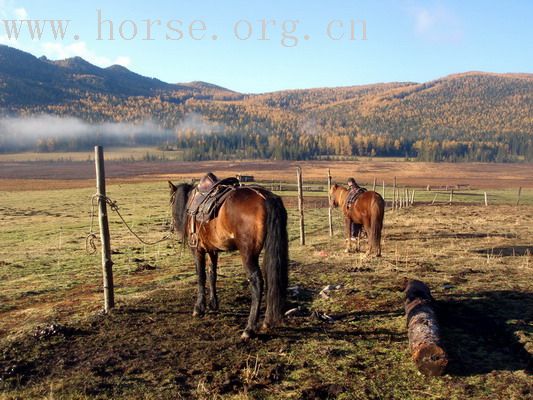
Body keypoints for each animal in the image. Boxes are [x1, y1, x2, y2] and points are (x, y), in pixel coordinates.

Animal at [169, 182, 286, 340]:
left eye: (171, 200)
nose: (173, 225)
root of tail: (266, 197)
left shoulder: (197, 250)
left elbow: (201, 276)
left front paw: (199, 308)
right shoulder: (213, 250)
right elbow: (212, 274)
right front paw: (213, 304)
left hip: (248, 254)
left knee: (257, 282)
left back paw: (249, 329)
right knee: (271, 278)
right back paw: (267, 321)